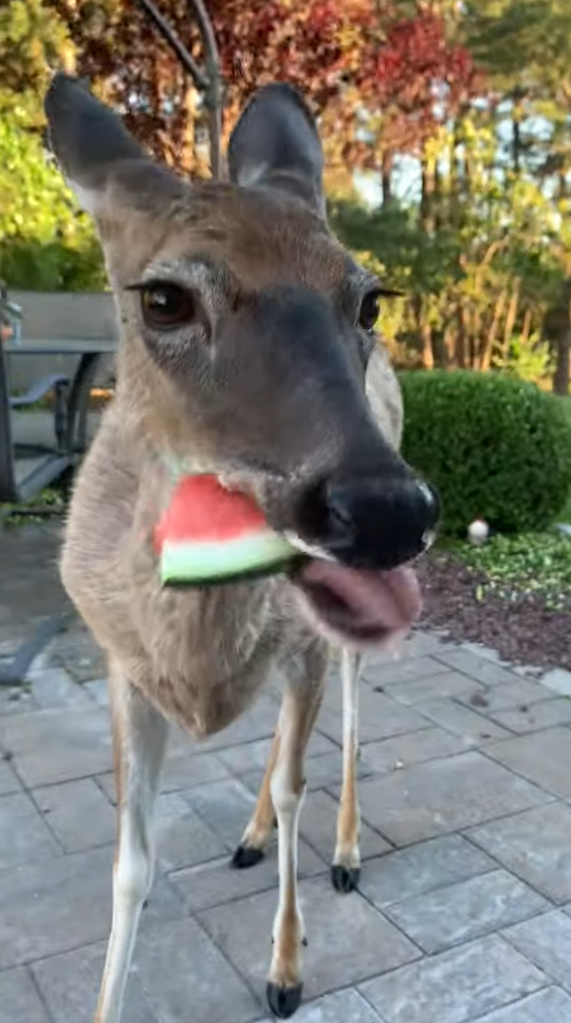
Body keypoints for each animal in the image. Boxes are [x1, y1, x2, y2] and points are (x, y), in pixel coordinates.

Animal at [45, 71, 439, 1022]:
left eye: (368, 298)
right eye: (162, 298)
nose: (384, 508)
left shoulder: (306, 638)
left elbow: (300, 781)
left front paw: (285, 969)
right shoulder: (120, 665)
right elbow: (129, 863)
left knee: (349, 711)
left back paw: (342, 851)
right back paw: (250, 833)